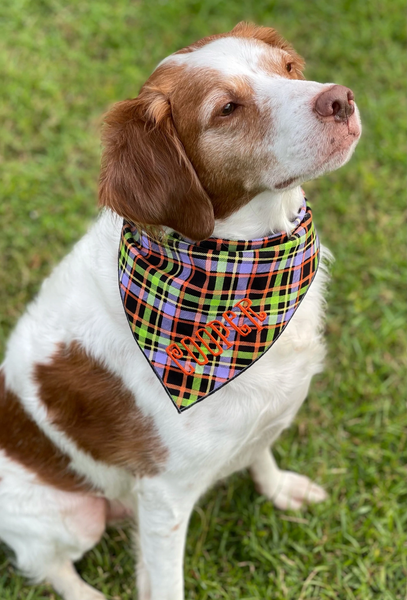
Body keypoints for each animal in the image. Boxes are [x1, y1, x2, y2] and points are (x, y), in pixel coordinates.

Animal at [0, 21, 364, 596]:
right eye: (227, 109)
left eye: (287, 69)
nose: (340, 99)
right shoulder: (164, 498)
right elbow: (166, 583)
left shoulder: (262, 415)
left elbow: (259, 451)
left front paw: (278, 487)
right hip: (72, 517)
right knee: (47, 566)